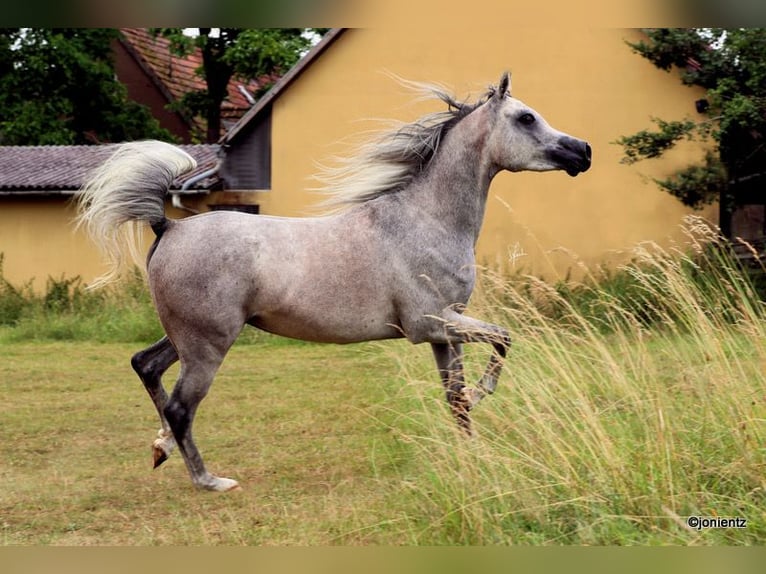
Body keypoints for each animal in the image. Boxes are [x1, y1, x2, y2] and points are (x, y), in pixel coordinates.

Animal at [76, 72, 591, 491]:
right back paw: (210, 480)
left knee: (146, 366)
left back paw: (160, 448)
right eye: (526, 117)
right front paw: (481, 400)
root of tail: (169, 226)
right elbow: (504, 340)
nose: (582, 151)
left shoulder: (446, 332)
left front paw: (473, 458)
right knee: (181, 407)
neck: (425, 219)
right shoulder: (431, 324)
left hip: (187, 337)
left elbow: (456, 399)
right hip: (208, 345)